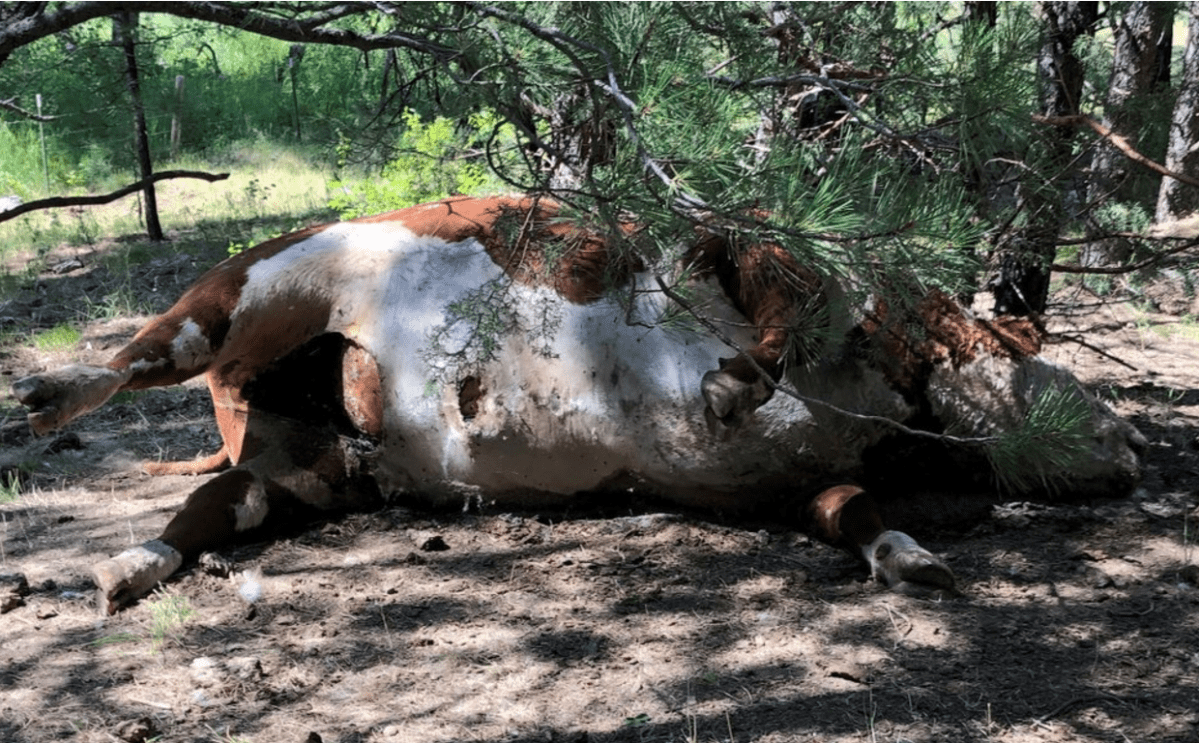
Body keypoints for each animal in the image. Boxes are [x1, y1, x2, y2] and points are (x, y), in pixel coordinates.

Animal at [11, 195, 1145, 613]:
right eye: (1039, 358)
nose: (1132, 445)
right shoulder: (751, 246)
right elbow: (772, 317)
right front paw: (730, 382)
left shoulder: (786, 488)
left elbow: (851, 511)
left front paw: (911, 557)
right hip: (249, 289)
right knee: (143, 353)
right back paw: (47, 392)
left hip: (314, 467)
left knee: (214, 505)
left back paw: (124, 567)